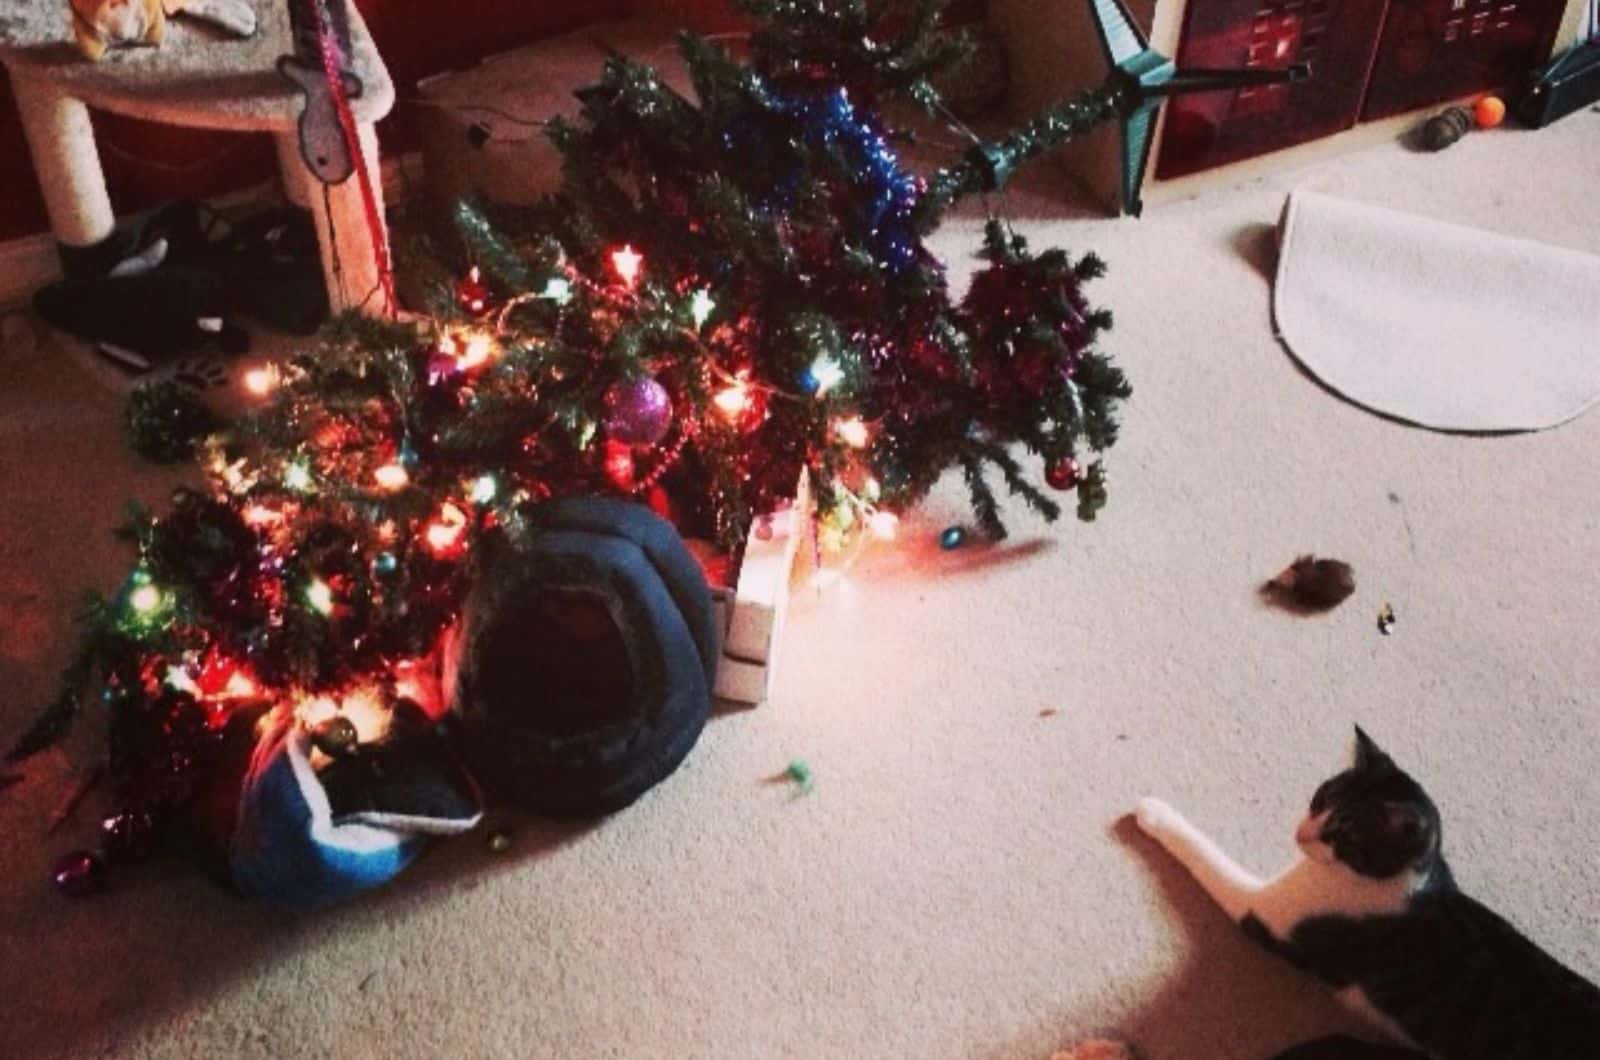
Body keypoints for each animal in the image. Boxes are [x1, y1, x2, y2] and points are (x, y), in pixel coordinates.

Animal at [1139, 730, 1600, 1060]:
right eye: (1321, 796)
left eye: (1343, 833)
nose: (1300, 833)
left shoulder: (1270, 911)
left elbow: (1207, 854)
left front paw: (1152, 811)